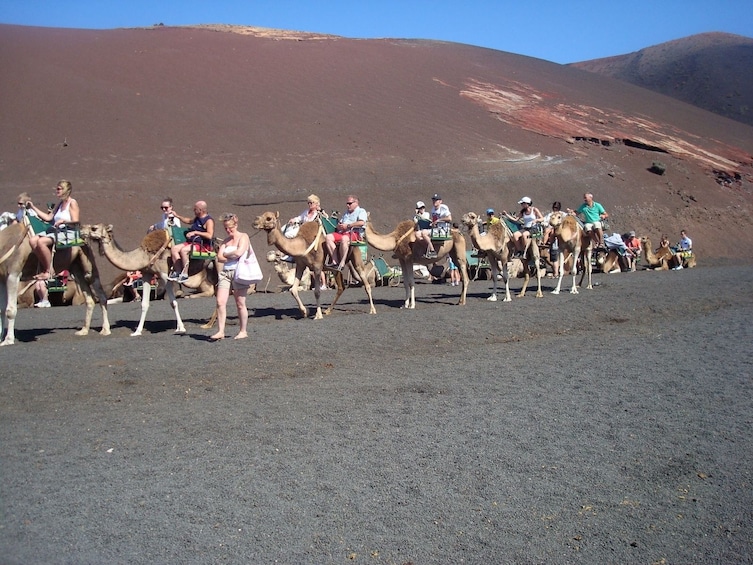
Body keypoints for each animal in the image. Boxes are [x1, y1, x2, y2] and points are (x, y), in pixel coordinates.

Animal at [82, 221, 217, 334]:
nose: (82, 231)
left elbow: (173, 302)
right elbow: (144, 304)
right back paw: (209, 323)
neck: (143, 255)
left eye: (94, 228)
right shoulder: (147, 274)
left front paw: (181, 328)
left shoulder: (165, 274)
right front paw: (137, 331)